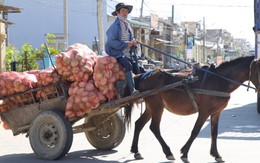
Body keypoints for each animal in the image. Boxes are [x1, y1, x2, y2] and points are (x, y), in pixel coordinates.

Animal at [124, 55, 260, 162]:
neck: (220, 80)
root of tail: (144, 75)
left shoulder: (216, 112)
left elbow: (214, 133)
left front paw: (216, 154)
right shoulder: (204, 112)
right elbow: (195, 131)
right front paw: (184, 153)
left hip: (151, 107)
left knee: (139, 123)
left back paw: (136, 151)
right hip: (157, 107)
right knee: (154, 127)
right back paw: (168, 152)